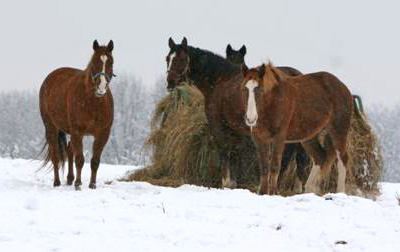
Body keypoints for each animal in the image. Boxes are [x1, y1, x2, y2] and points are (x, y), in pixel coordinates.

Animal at [39, 39, 114, 189]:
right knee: (56, 156)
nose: (101, 87)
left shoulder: (103, 134)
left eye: (111, 62)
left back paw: (69, 179)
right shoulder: (77, 131)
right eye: (94, 62)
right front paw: (78, 184)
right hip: (51, 127)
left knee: (69, 151)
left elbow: (95, 161)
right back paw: (57, 182)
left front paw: (92, 184)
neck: (93, 103)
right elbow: (79, 159)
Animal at [239, 63, 352, 195]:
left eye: (260, 89)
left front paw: (273, 193)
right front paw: (262, 193)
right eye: (244, 89)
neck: (273, 102)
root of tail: (344, 87)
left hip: (339, 130)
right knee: (320, 157)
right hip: (308, 136)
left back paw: (340, 192)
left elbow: (275, 166)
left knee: (342, 160)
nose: (250, 119)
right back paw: (309, 189)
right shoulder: (259, 138)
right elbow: (264, 167)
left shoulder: (279, 137)